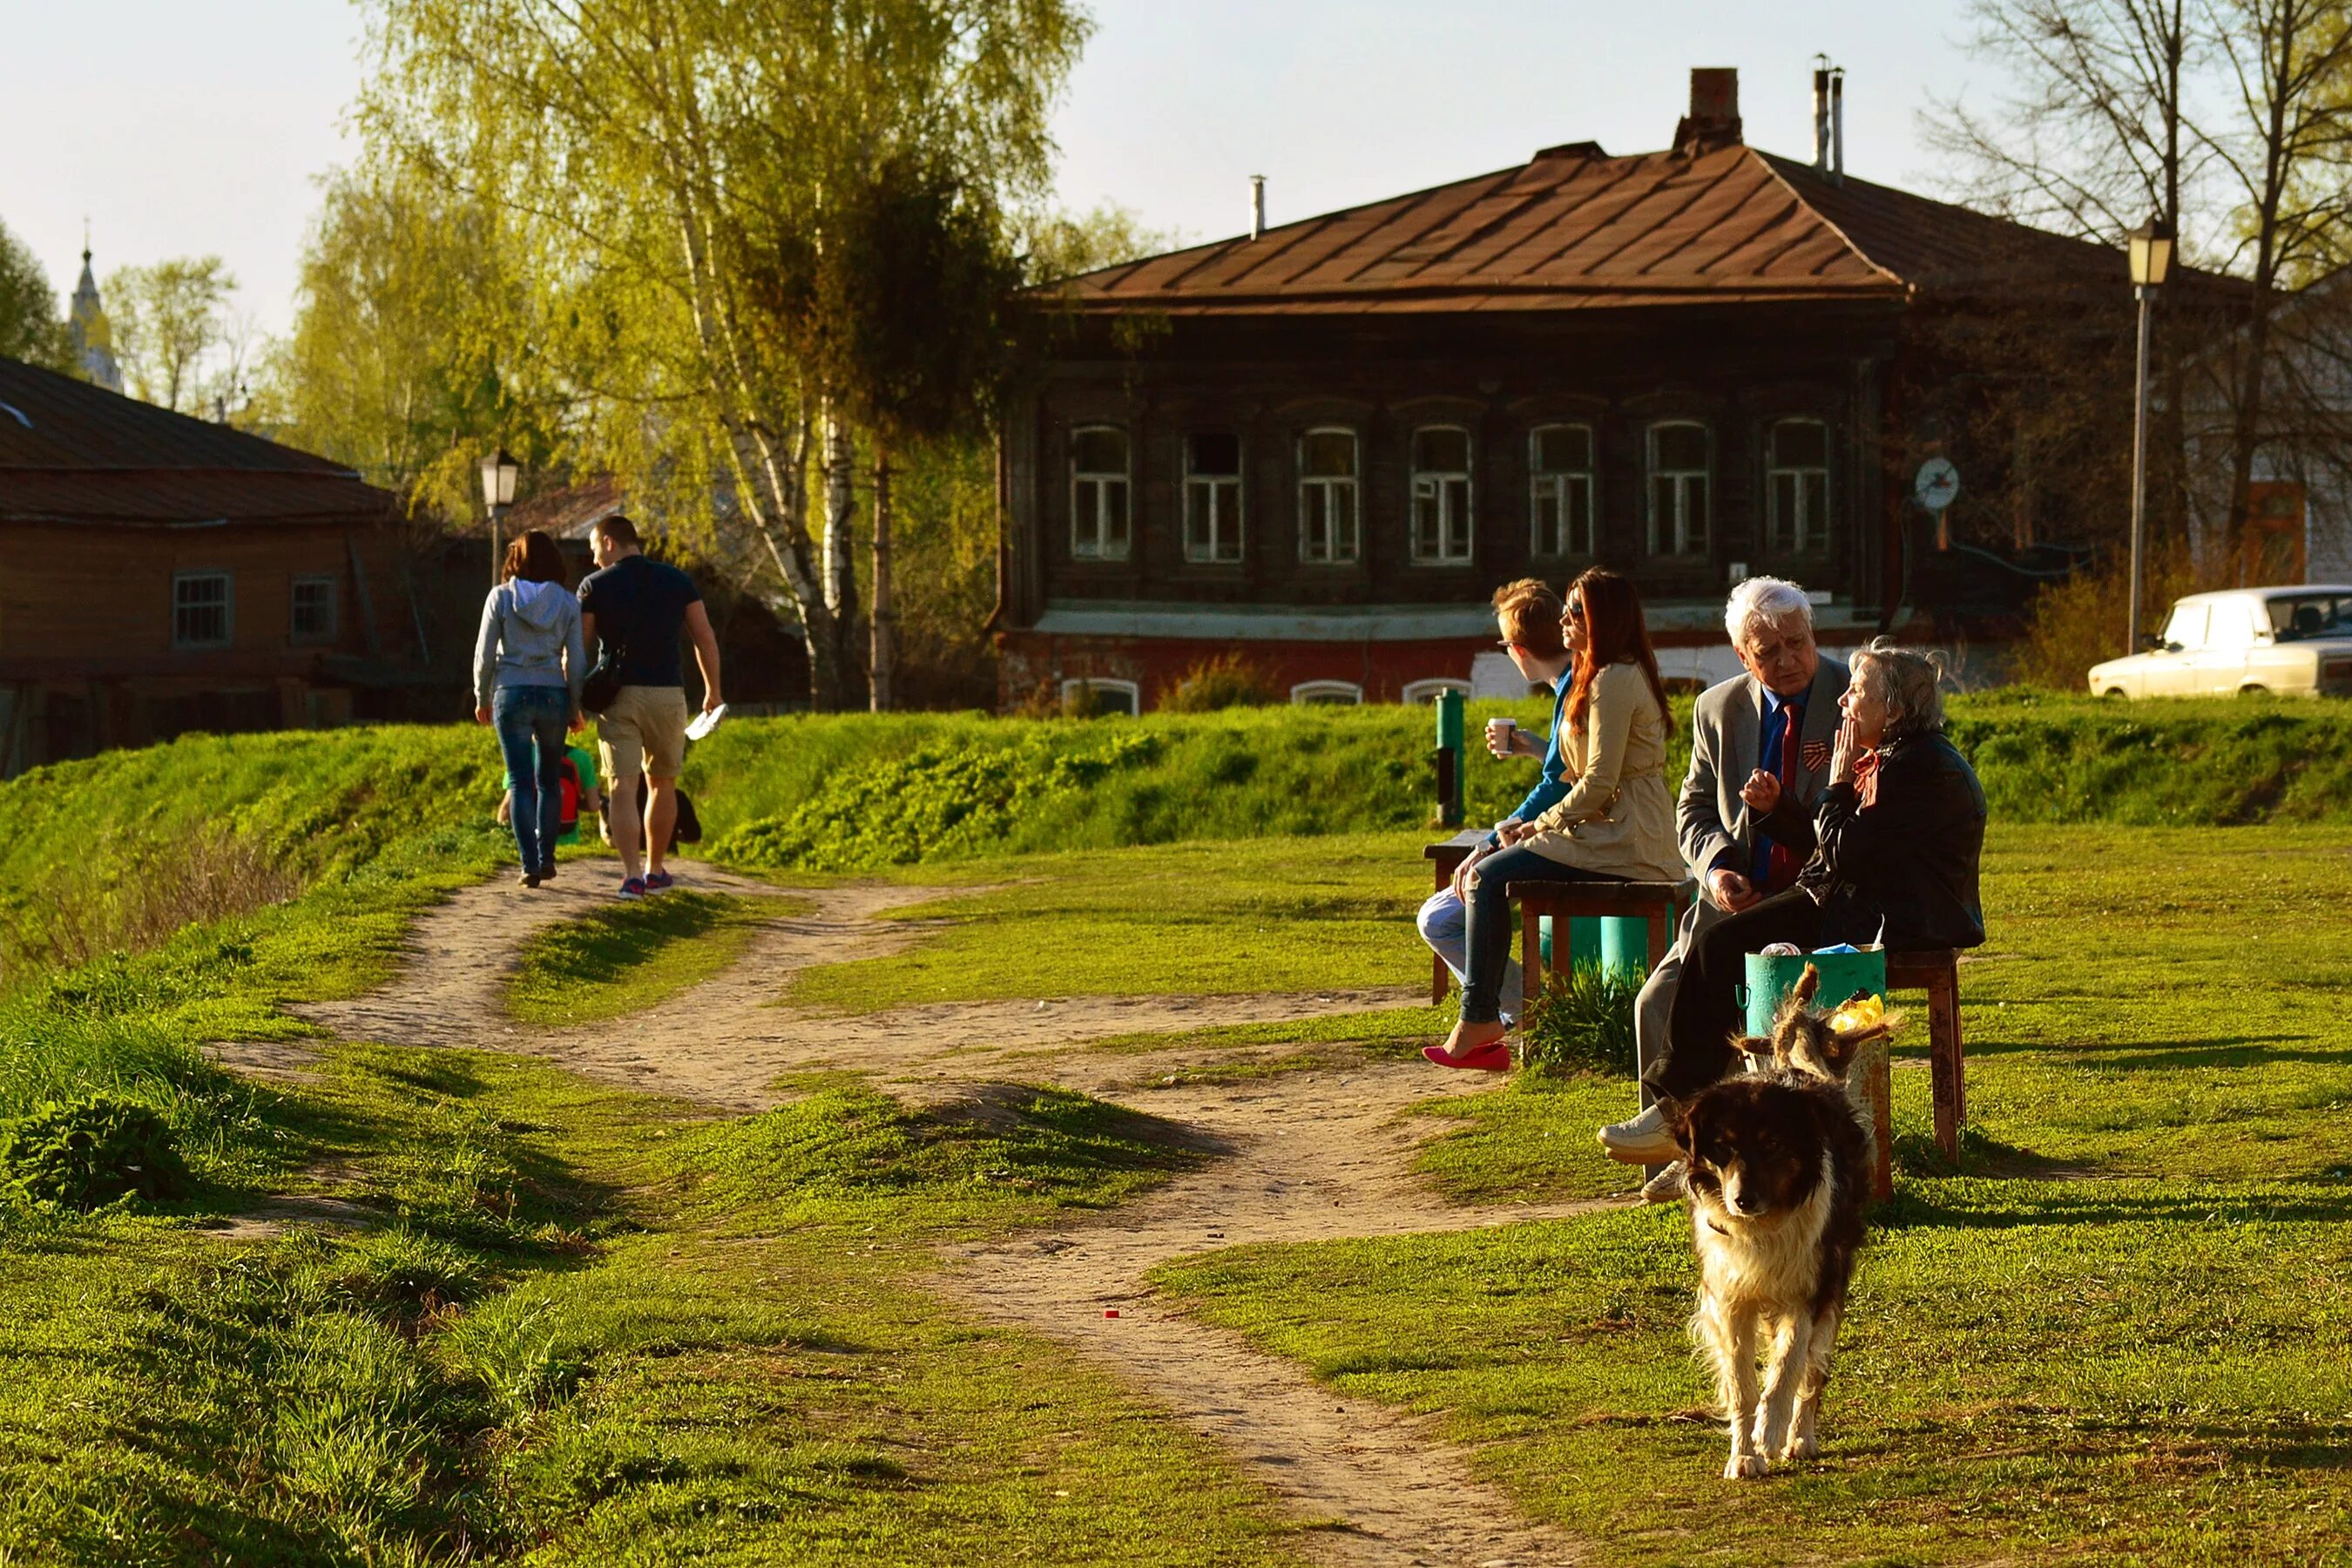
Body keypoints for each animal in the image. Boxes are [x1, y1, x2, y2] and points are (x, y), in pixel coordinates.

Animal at [1674, 968, 1872, 1485]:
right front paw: (1744, 1454)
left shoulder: (1809, 1289)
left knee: (1813, 1372)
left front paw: (1772, 1431)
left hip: (1834, 1281)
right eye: (1722, 1147)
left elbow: (1786, 1369)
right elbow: (1742, 1384)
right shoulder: (1730, 1296)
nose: (1742, 1200)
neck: (1765, 1224)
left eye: (1773, 1144)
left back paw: (1800, 1438)